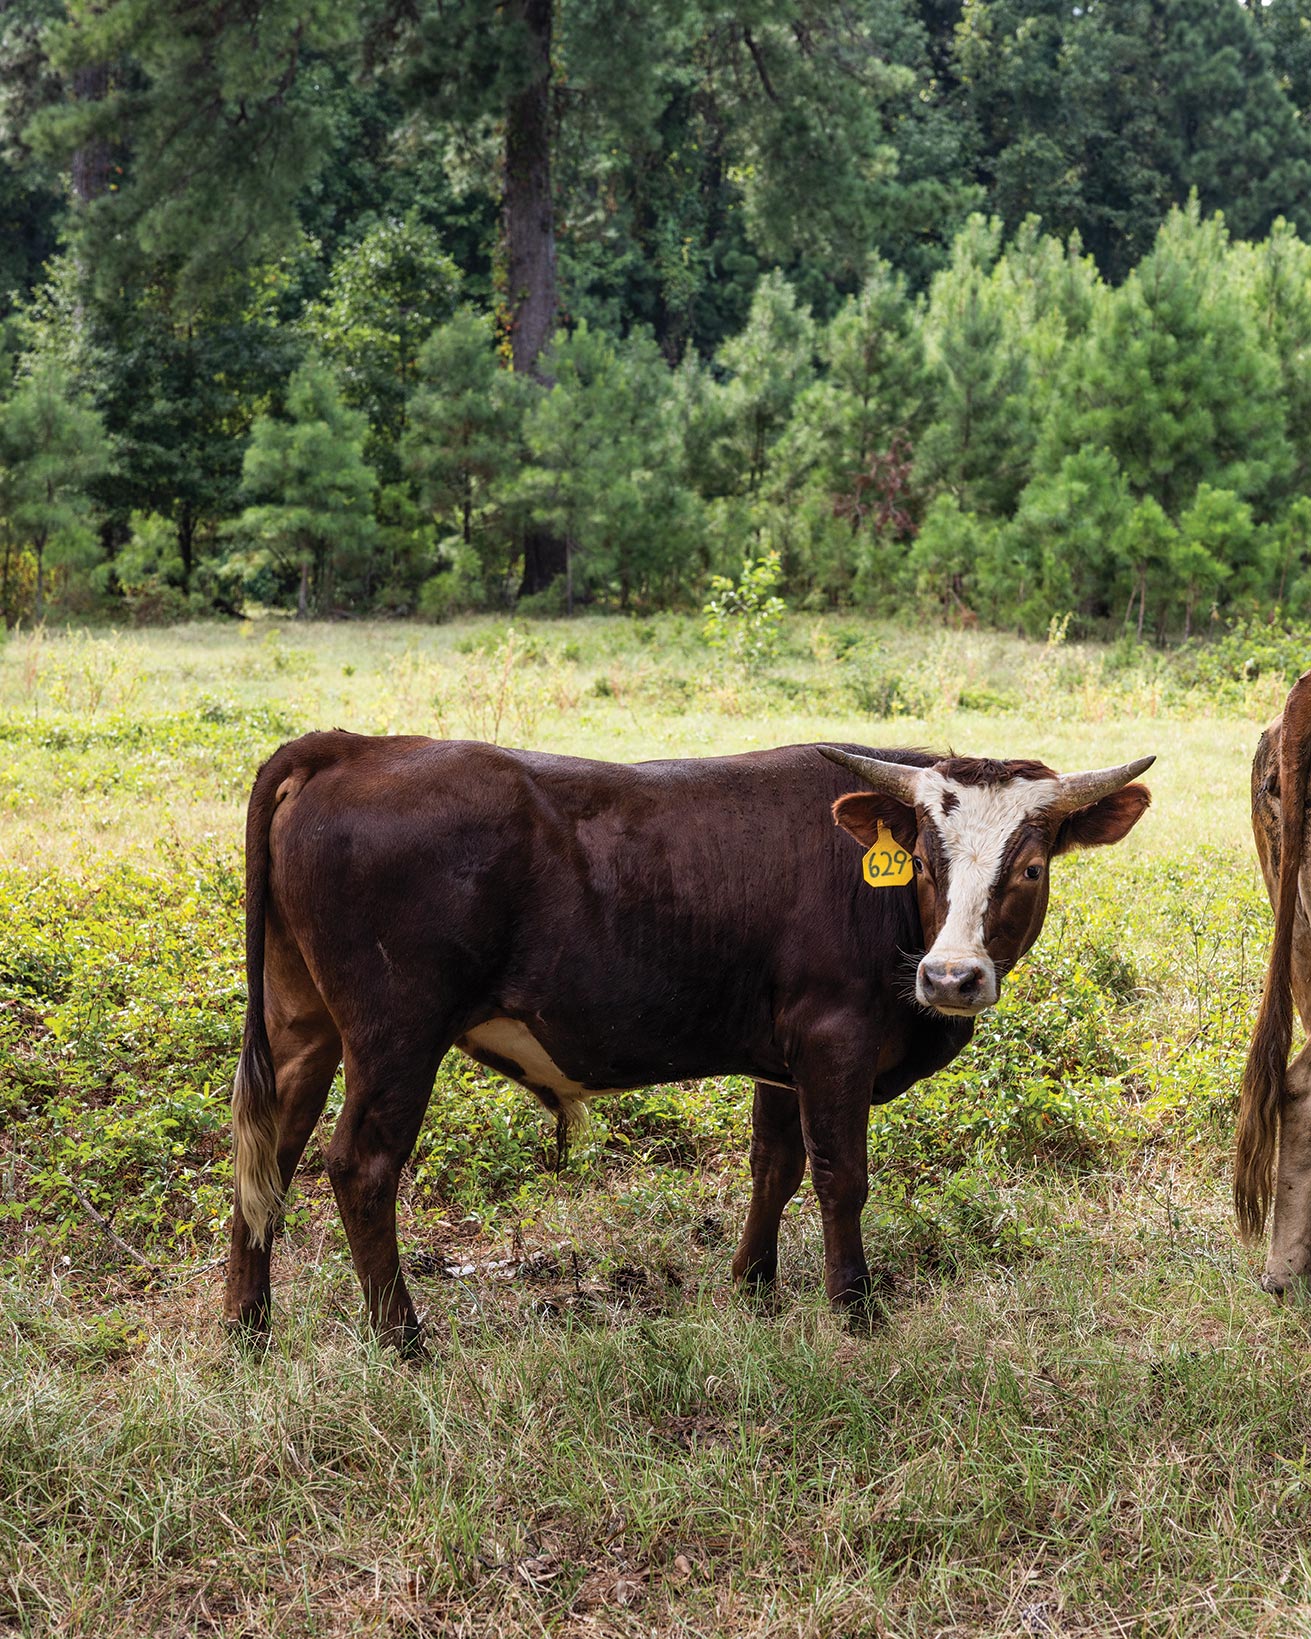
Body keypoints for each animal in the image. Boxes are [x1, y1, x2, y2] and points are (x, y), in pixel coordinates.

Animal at [223, 732, 1154, 1351]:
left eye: (1028, 868)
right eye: (923, 860)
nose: (950, 977)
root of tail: (352, 746)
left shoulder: (784, 1057)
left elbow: (773, 1166)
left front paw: (754, 1287)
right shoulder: (835, 1040)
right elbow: (839, 1176)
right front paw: (854, 1308)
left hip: (303, 1025)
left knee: (267, 1150)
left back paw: (247, 1325)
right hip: (396, 1034)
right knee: (360, 1165)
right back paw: (401, 1338)